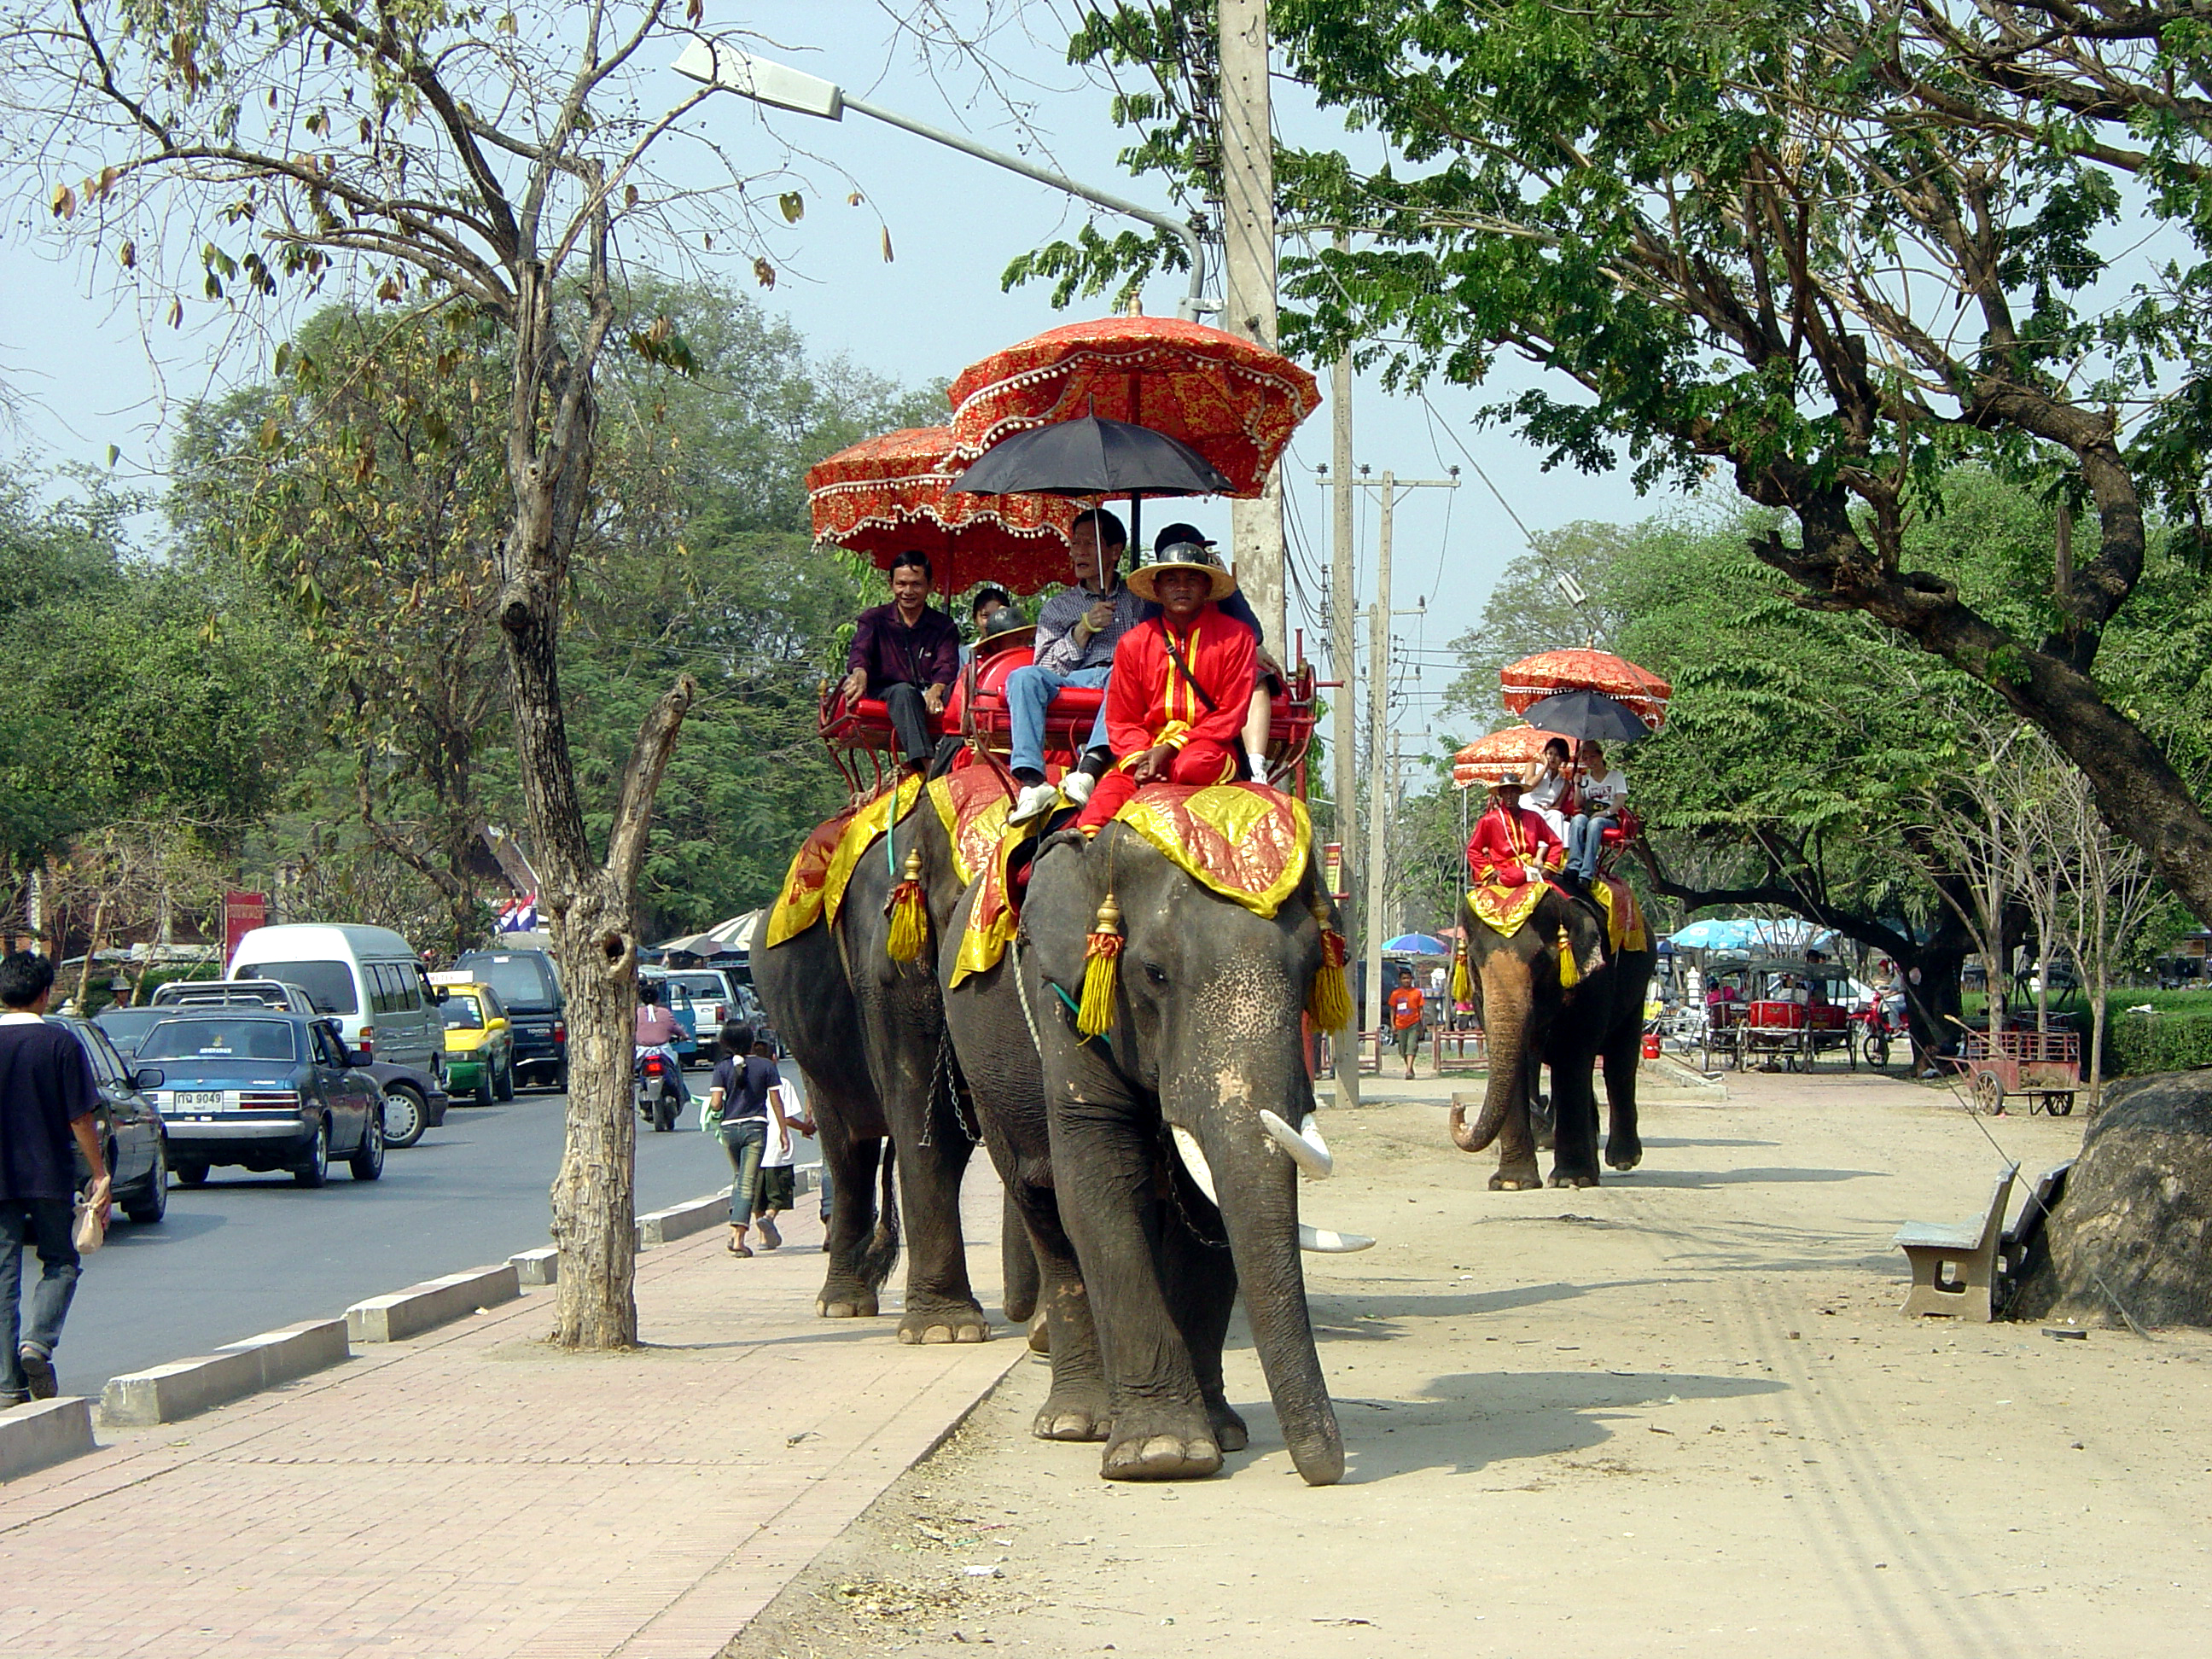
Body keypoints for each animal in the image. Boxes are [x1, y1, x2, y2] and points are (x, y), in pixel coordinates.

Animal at [987, 827, 1344, 1486]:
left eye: (1315, 968)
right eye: (1153, 974)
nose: (1325, 1474)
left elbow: (1207, 1211)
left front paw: (1219, 1437)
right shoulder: (1062, 1002)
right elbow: (1096, 1186)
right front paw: (1162, 1457)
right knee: (1043, 1210)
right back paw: (1076, 1423)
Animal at [1451, 888, 1663, 1185]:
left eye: (1541, 960)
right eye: (1475, 960)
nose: (1459, 1107)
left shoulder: (1594, 980)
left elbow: (1572, 1056)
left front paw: (1570, 1180)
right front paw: (1511, 1183)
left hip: (1638, 986)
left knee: (1620, 1063)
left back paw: (1622, 1160)